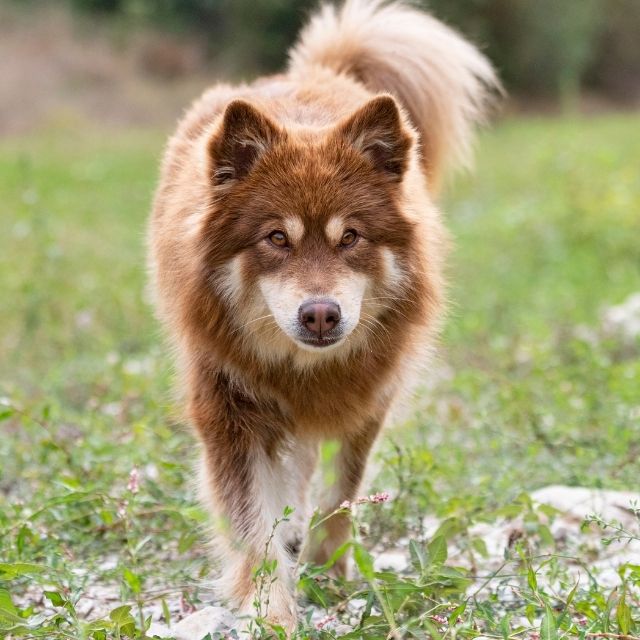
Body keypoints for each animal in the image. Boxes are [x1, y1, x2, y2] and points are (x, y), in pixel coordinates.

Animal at [148, 0, 498, 632]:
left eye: (350, 237)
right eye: (276, 238)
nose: (319, 315)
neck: (304, 368)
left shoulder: (365, 404)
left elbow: (341, 494)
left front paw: (331, 573)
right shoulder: (228, 411)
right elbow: (253, 528)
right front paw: (273, 612)